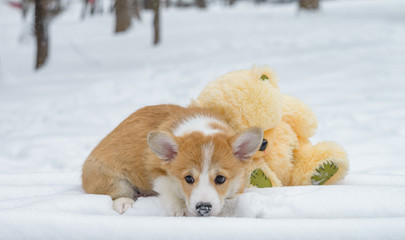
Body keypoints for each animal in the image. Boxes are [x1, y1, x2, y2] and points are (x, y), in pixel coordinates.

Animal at [82, 104, 262, 217]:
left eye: (220, 179)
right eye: (188, 178)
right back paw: (124, 203)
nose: (203, 208)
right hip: (107, 176)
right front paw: (180, 209)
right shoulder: (156, 170)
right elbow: (168, 189)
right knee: (115, 192)